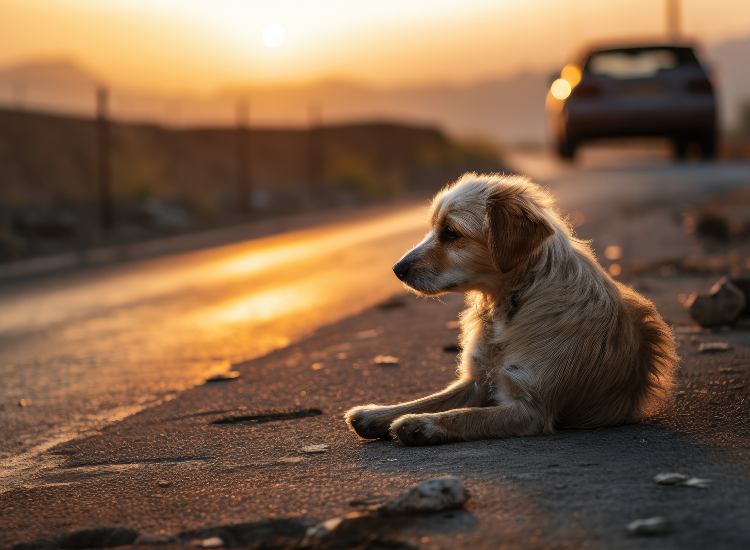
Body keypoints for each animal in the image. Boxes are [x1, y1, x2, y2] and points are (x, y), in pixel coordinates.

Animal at [346, 175, 680, 446]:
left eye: (451, 233)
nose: (397, 269)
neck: (513, 302)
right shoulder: (477, 380)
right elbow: (431, 399)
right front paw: (378, 414)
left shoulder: (531, 409)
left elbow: (465, 415)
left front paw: (421, 425)